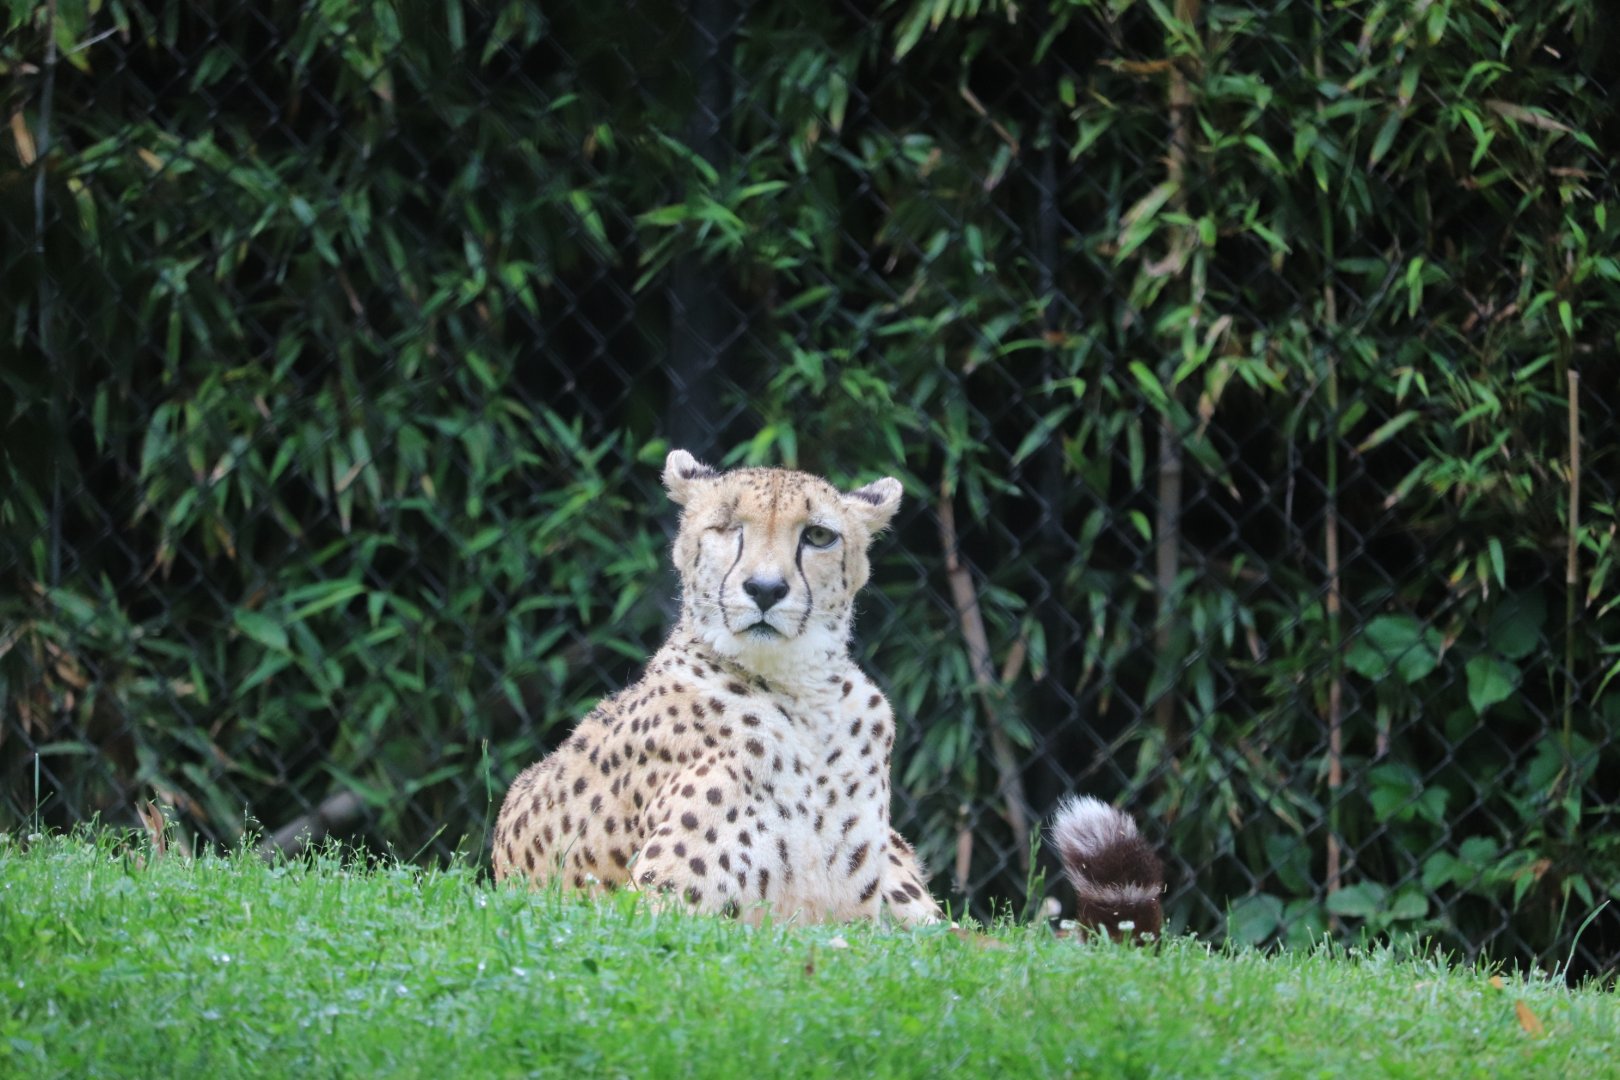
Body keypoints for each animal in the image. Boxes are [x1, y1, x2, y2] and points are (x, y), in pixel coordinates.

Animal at [492, 448, 1165, 932]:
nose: (765, 589)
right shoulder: (662, 909)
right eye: (726, 527)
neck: (802, 695)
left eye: (817, 536)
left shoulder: (877, 920)